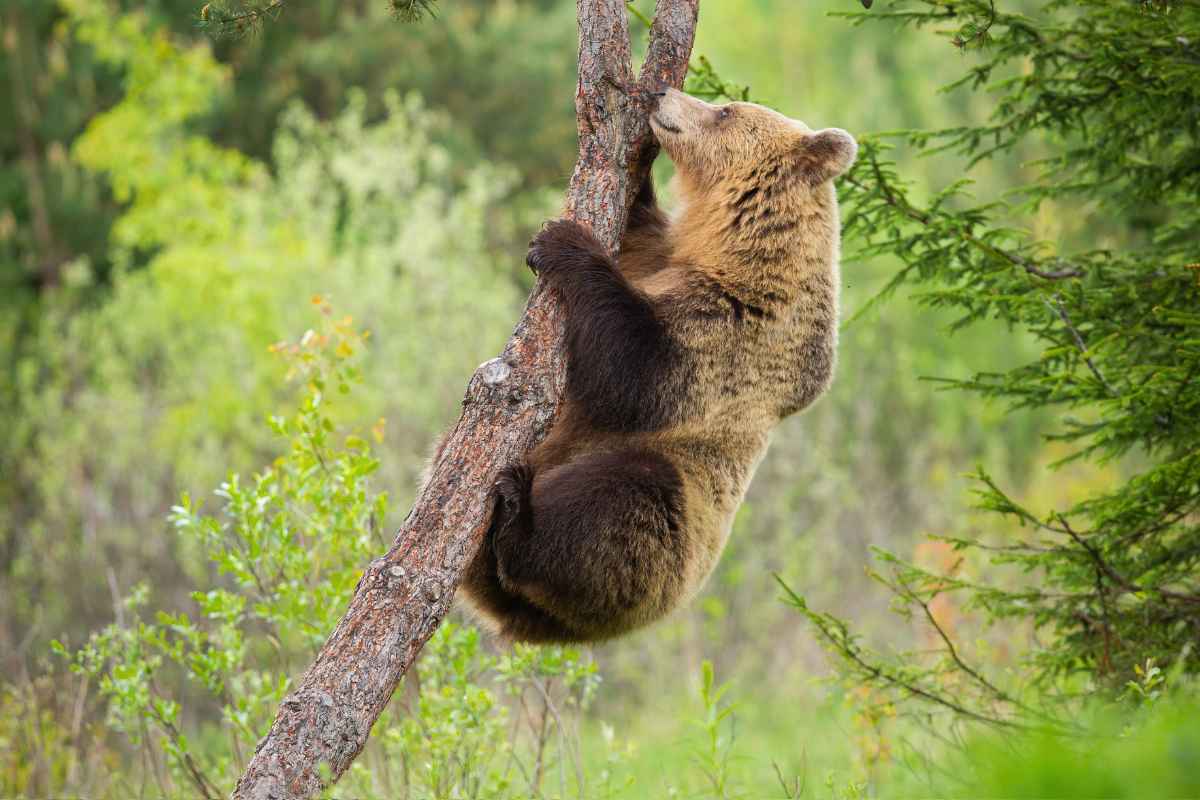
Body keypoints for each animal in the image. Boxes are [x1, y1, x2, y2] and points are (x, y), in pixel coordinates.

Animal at [458, 88, 857, 643]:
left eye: (725, 111)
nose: (665, 93)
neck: (732, 250)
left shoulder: (731, 338)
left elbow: (632, 373)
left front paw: (562, 241)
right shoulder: (660, 259)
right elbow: (637, 232)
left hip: (670, 537)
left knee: (620, 505)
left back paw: (518, 514)